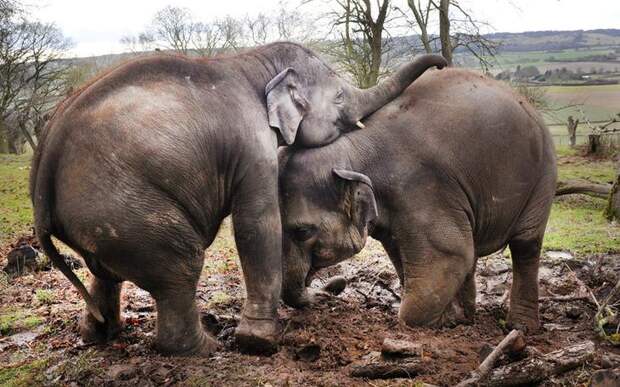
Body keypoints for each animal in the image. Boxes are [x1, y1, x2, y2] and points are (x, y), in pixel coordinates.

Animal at [30, 41, 446, 354]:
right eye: (341, 96)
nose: (442, 62)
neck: (254, 61)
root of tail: (41, 186)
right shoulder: (252, 143)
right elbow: (257, 222)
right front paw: (260, 342)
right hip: (128, 212)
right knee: (180, 266)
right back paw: (204, 347)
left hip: (102, 221)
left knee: (105, 272)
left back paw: (98, 335)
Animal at [280, 68, 556, 332]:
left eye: (302, 232)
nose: (334, 287)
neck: (355, 149)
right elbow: (407, 257)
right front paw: (451, 319)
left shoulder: (421, 187)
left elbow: (450, 253)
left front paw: (443, 321)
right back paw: (468, 318)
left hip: (542, 178)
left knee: (525, 245)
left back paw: (519, 326)